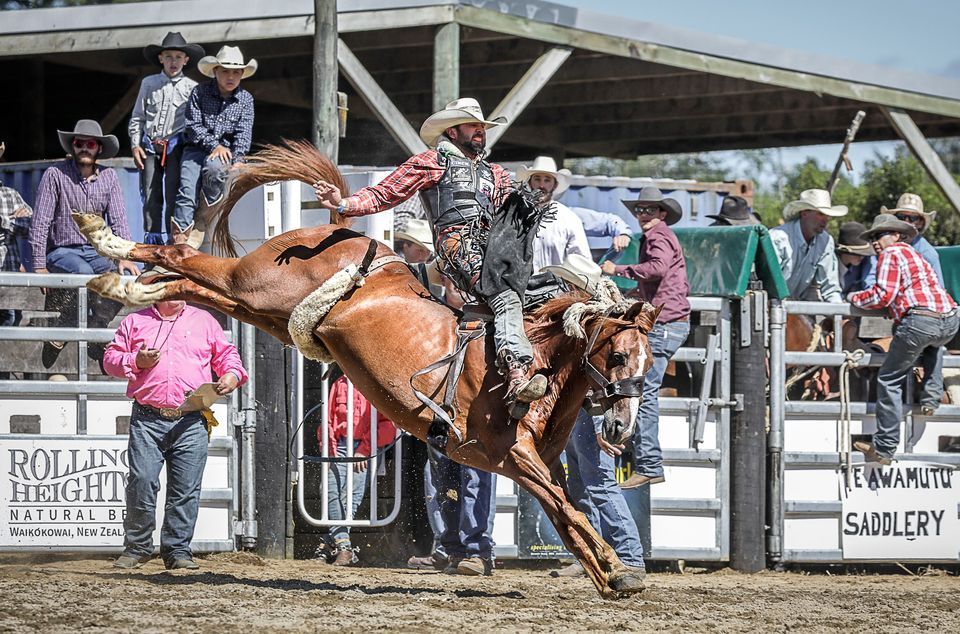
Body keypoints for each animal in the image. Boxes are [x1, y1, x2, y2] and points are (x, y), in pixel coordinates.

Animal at [73, 139, 660, 596]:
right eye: (619, 354)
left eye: (652, 362)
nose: (620, 427)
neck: (539, 357)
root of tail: (333, 229)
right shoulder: (510, 453)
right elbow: (568, 509)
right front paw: (617, 571)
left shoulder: (534, 464)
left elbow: (566, 512)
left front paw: (610, 573)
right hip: (256, 284)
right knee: (180, 257)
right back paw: (105, 241)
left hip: (262, 309)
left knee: (190, 282)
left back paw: (121, 283)